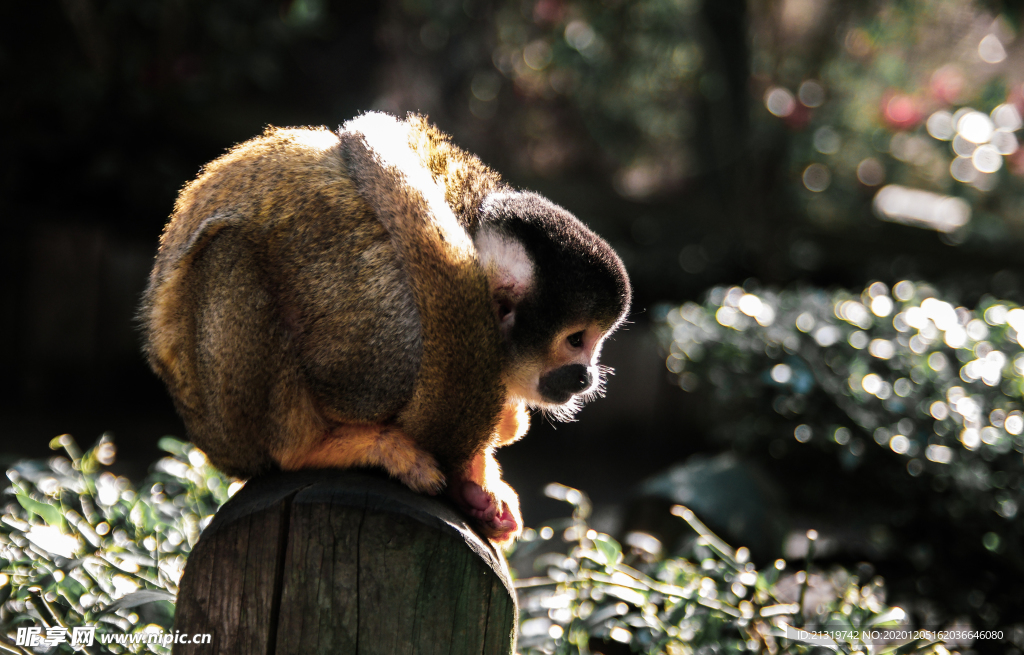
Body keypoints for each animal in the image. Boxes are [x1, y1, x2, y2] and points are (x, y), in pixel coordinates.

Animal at [140, 111, 626, 540]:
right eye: (576, 340)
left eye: (594, 343)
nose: (587, 376)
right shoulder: (396, 331)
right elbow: (345, 385)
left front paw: (478, 479)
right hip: (227, 426)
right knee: (230, 255)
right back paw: (309, 451)